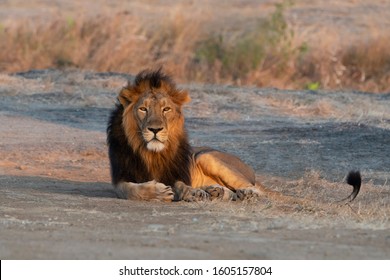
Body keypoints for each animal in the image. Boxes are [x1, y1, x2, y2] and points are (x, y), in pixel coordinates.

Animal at [106, 69, 360, 202]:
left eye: (166, 109)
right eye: (143, 109)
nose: (155, 129)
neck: (151, 153)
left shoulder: (178, 172)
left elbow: (180, 185)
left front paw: (191, 192)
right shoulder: (120, 177)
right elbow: (131, 190)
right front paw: (158, 191)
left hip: (207, 156)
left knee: (257, 190)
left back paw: (242, 193)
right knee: (231, 192)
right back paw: (217, 191)